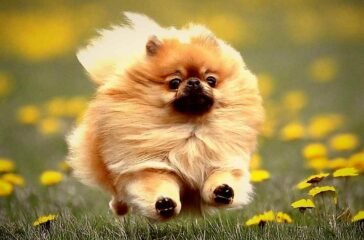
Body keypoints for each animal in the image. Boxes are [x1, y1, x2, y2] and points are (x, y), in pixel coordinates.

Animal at [66, 12, 264, 220]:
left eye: (211, 80)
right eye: (174, 82)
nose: (194, 82)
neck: (190, 129)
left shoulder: (221, 161)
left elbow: (221, 177)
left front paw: (223, 191)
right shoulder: (152, 167)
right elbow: (158, 186)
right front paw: (164, 203)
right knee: (118, 191)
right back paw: (119, 207)